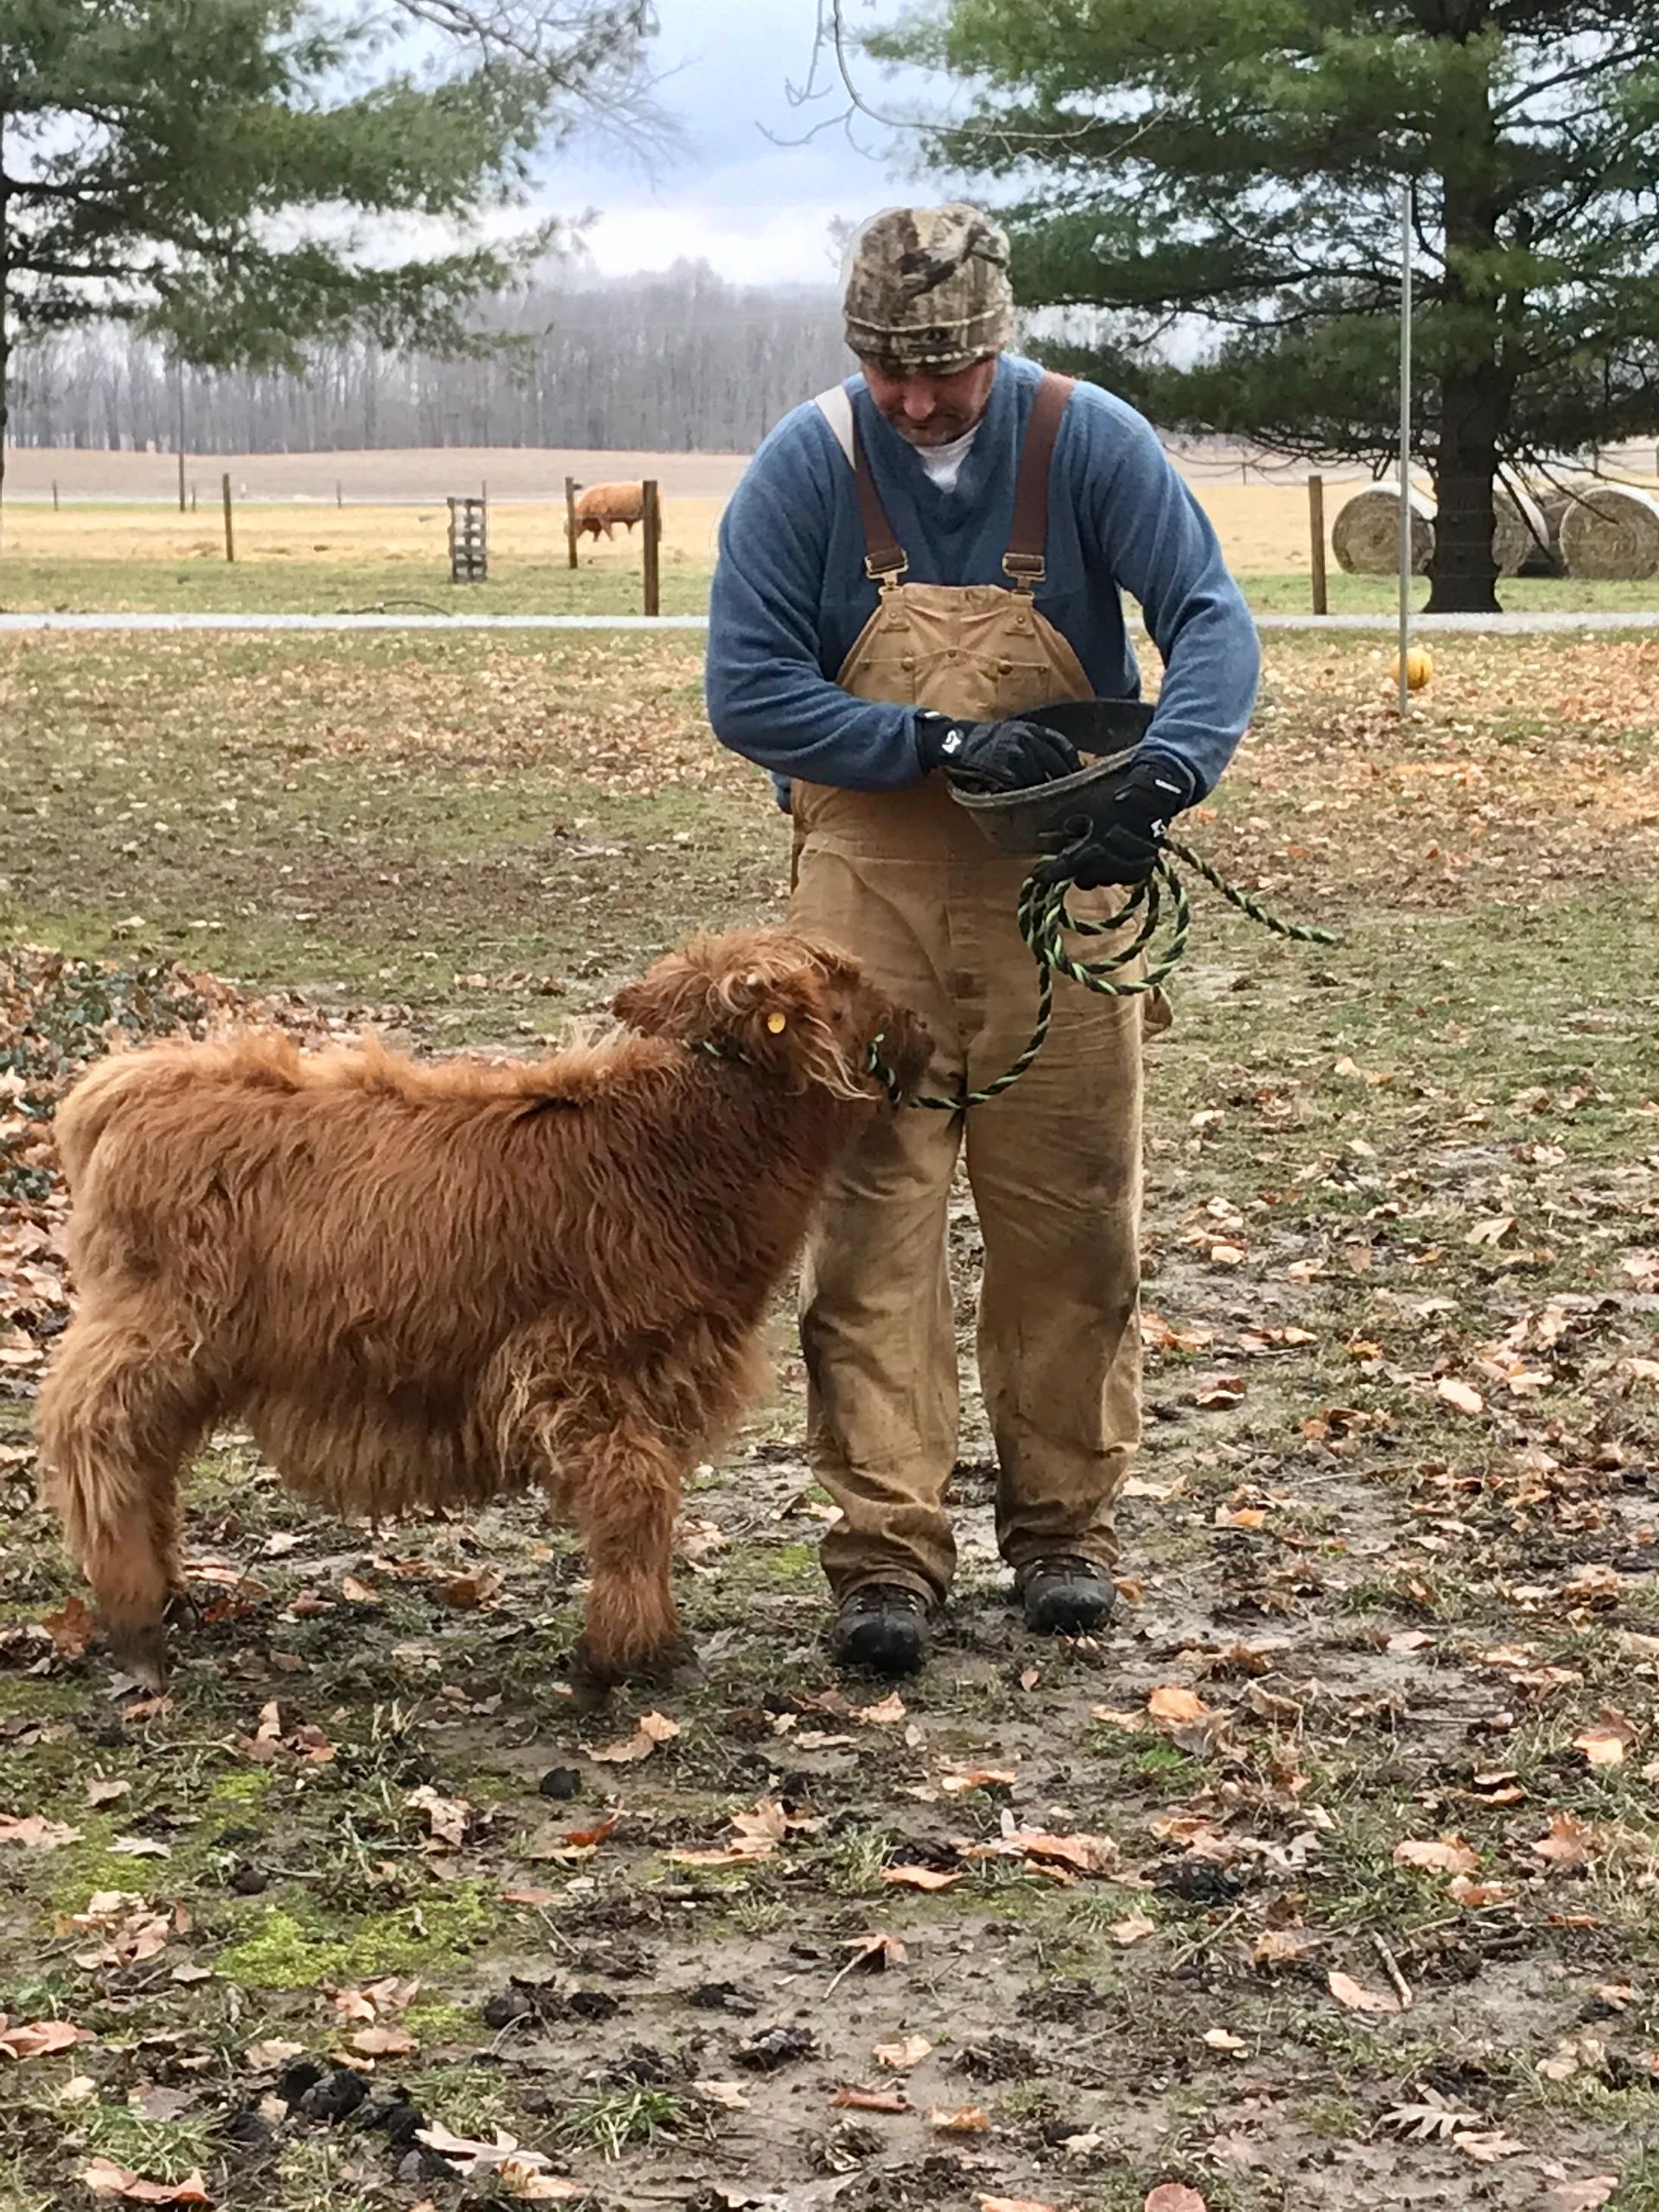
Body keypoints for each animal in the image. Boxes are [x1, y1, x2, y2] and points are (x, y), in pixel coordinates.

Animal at [35, 933, 938, 1689]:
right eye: (846, 983)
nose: (922, 1026)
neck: (676, 1155)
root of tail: (128, 1086)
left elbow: (647, 1494)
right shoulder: (573, 1370)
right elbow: (637, 1493)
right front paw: (630, 1651)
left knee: (147, 1459)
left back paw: (168, 1590)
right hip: (158, 1331)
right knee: (94, 1434)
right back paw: (135, 1618)